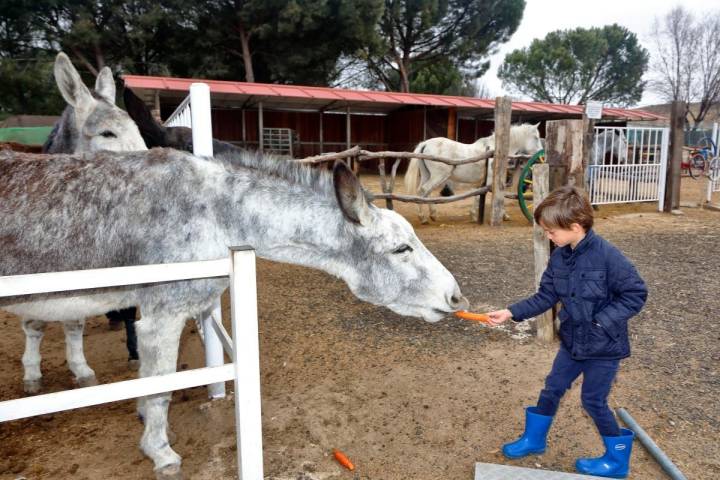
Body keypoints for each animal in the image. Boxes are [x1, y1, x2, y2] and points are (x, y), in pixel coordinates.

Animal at [402, 123, 544, 222]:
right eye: (536, 137)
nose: (541, 155)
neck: (496, 151)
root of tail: (425, 143)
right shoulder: (493, 182)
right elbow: (499, 197)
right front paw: (504, 215)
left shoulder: (480, 184)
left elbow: (477, 197)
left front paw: (474, 216)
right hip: (438, 177)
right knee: (424, 191)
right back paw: (424, 217)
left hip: (427, 176)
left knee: (424, 192)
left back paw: (431, 215)